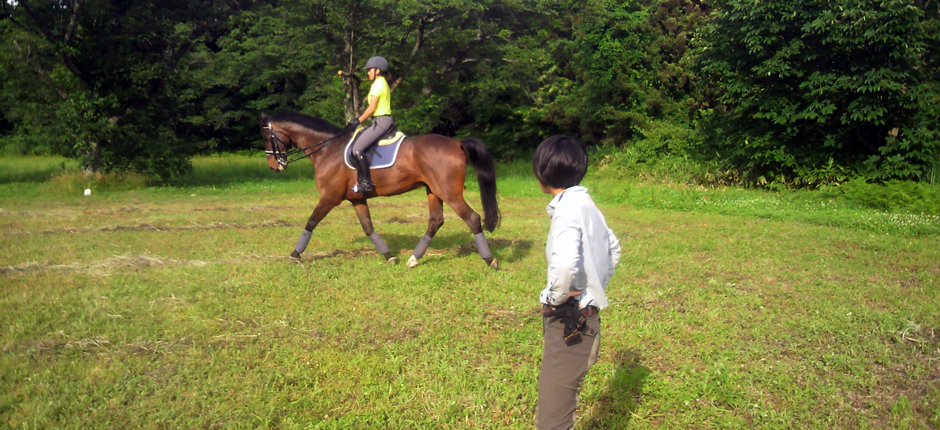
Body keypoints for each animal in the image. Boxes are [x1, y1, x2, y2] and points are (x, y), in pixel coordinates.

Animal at [259, 111, 500, 269]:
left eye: (266, 137)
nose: (273, 166)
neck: (327, 148)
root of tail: (456, 142)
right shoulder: (356, 199)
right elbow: (368, 227)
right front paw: (388, 256)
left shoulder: (329, 197)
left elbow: (311, 222)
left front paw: (295, 254)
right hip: (433, 191)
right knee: (435, 221)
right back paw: (413, 260)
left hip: (450, 193)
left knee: (472, 218)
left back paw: (490, 261)